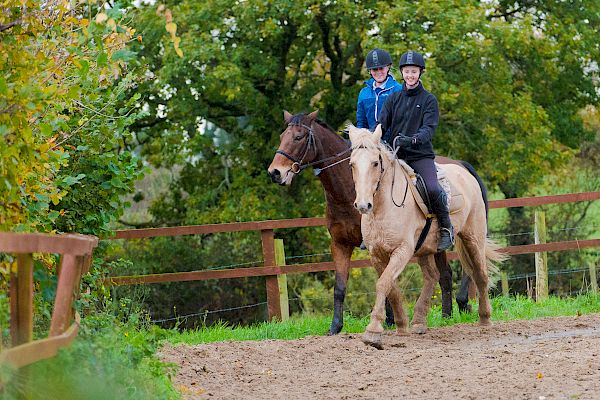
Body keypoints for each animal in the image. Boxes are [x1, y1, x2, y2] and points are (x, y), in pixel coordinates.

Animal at [268, 109, 478, 334]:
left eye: (298, 137)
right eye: (282, 136)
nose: (275, 172)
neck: (348, 192)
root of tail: (460, 165)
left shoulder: (377, 246)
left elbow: (385, 279)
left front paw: (388, 320)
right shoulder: (340, 244)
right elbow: (340, 287)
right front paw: (335, 326)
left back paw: (459, 305)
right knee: (445, 274)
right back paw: (447, 314)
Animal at [346, 124, 506, 346]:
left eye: (375, 163)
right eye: (352, 164)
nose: (363, 205)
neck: (383, 208)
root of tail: (465, 171)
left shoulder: (403, 250)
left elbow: (384, 283)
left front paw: (373, 330)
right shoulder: (376, 254)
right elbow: (390, 286)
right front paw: (401, 325)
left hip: (473, 238)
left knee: (480, 275)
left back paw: (484, 318)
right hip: (426, 249)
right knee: (432, 277)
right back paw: (419, 321)